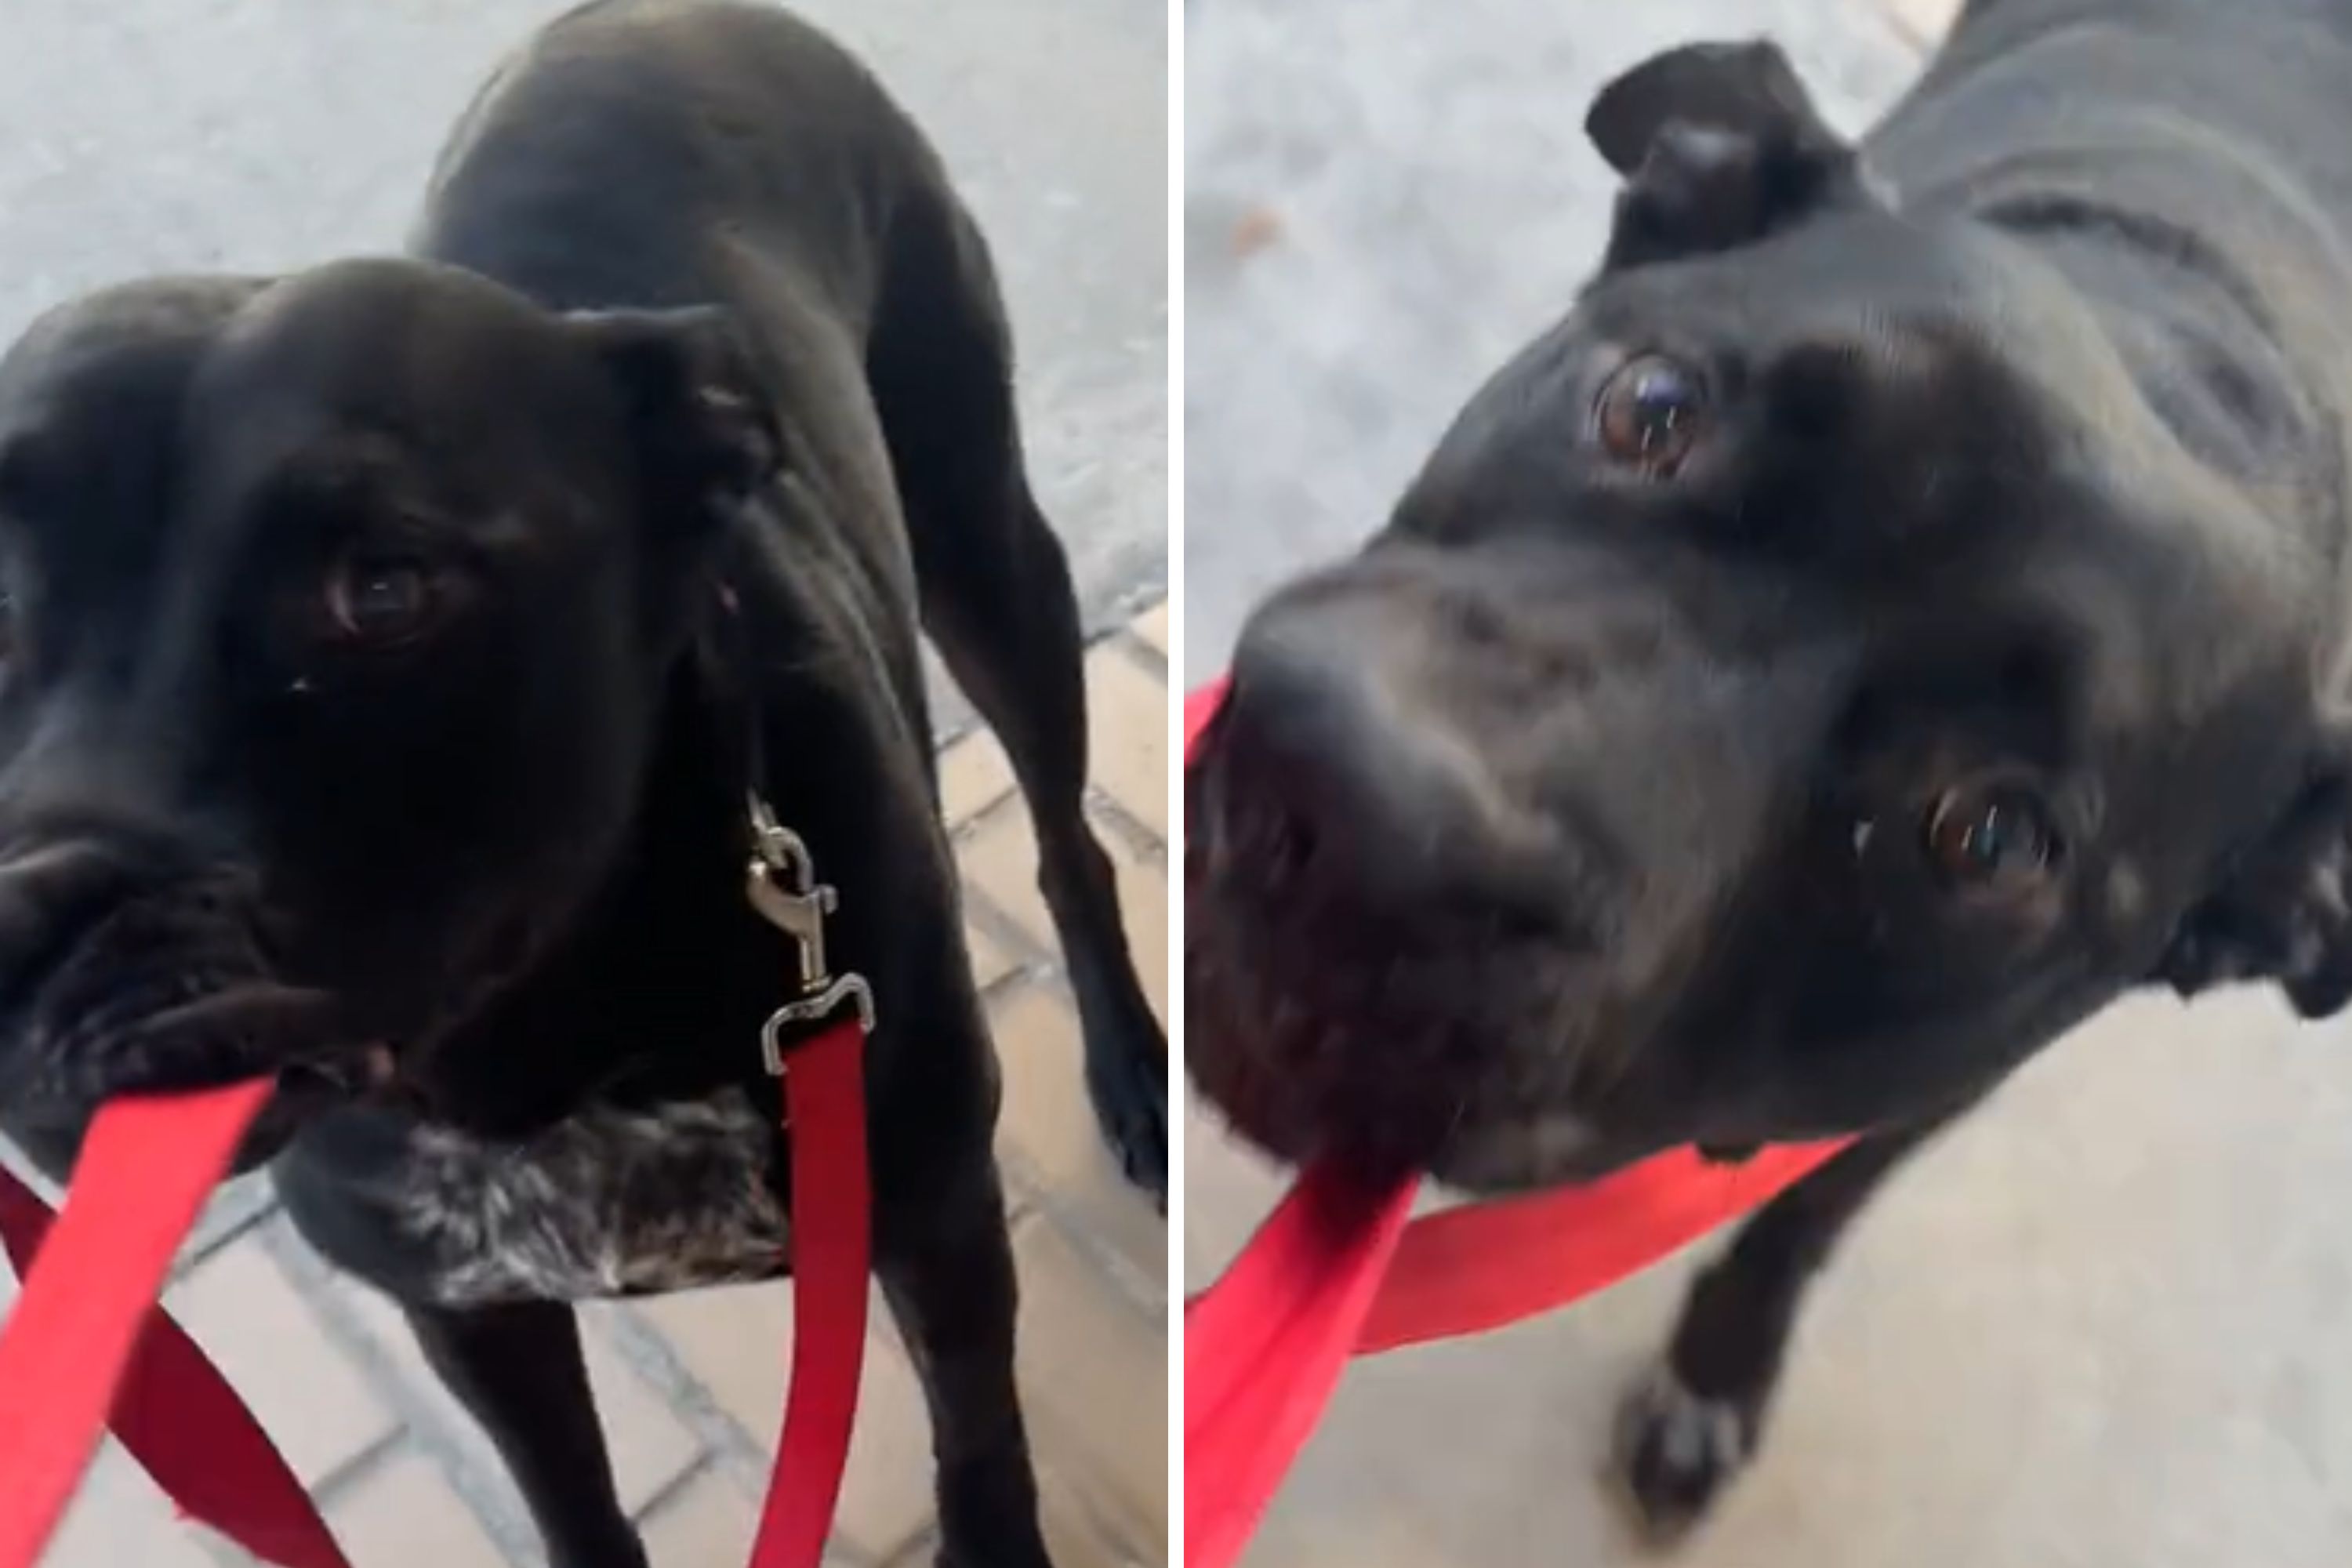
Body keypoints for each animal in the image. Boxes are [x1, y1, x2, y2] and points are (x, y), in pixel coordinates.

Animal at [0, 2, 1167, 1568]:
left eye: (384, 589)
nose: (20, 926)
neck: (546, 1051)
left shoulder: (936, 1218)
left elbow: (980, 1454)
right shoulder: (469, 1312)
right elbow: (573, 1507)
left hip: (990, 546)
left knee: (1065, 834)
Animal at [1195, 0, 2352, 1542]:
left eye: (1991, 838)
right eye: (1650, 402)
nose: (1357, 813)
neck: (2190, 333)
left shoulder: (1913, 1099)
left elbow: (1805, 1219)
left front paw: (1714, 1377)